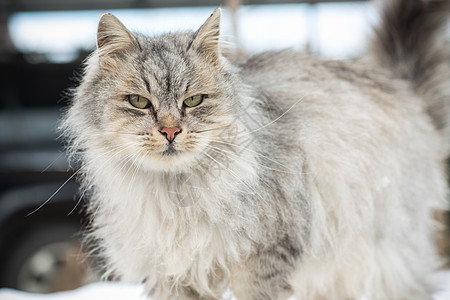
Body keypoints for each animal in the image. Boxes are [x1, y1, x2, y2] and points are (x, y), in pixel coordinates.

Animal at [60, 0, 450, 298]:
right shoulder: (172, 274)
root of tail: (399, 85)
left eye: (194, 100)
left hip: (376, 259)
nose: (171, 131)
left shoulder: (263, 260)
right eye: (140, 102)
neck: (177, 194)